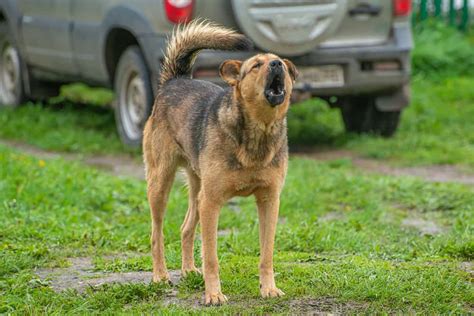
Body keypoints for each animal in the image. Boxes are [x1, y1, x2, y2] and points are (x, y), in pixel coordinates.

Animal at [142, 20, 296, 306]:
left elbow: (267, 254)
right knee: (156, 233)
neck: (258, 130)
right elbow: (211, 257)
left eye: (280, 61)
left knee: (185, 228)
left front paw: (268, 289)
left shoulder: (269, 200)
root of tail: (176, 80)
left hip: (197, 190)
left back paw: (189, 270)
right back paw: (160, 275)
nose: (276, 65)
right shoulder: (212, 202)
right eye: (256, 65)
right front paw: (213, 294)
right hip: (161, 184)